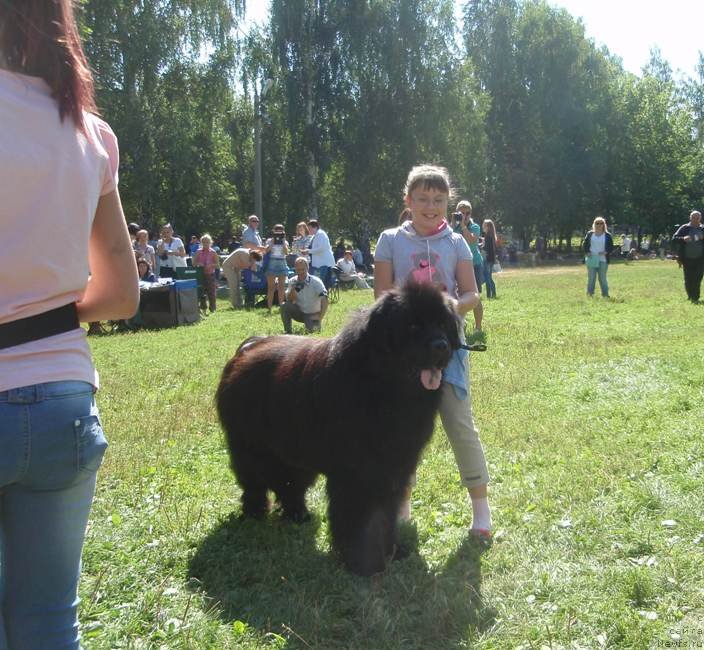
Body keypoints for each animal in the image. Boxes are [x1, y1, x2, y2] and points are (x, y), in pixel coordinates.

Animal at [220, 280, 462, 576]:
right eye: (412, 325)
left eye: (442, 323)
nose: (441, 346)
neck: (383, 385)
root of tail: (247, 348)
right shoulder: (356, 473)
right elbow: (359, 516)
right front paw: (364, 562)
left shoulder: (394, 466)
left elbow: (387, 514)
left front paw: (392, 551)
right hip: (251, 447)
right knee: (254, 481)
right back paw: (255, 513)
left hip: (295, 452)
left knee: (290, 484)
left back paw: (297, 514)